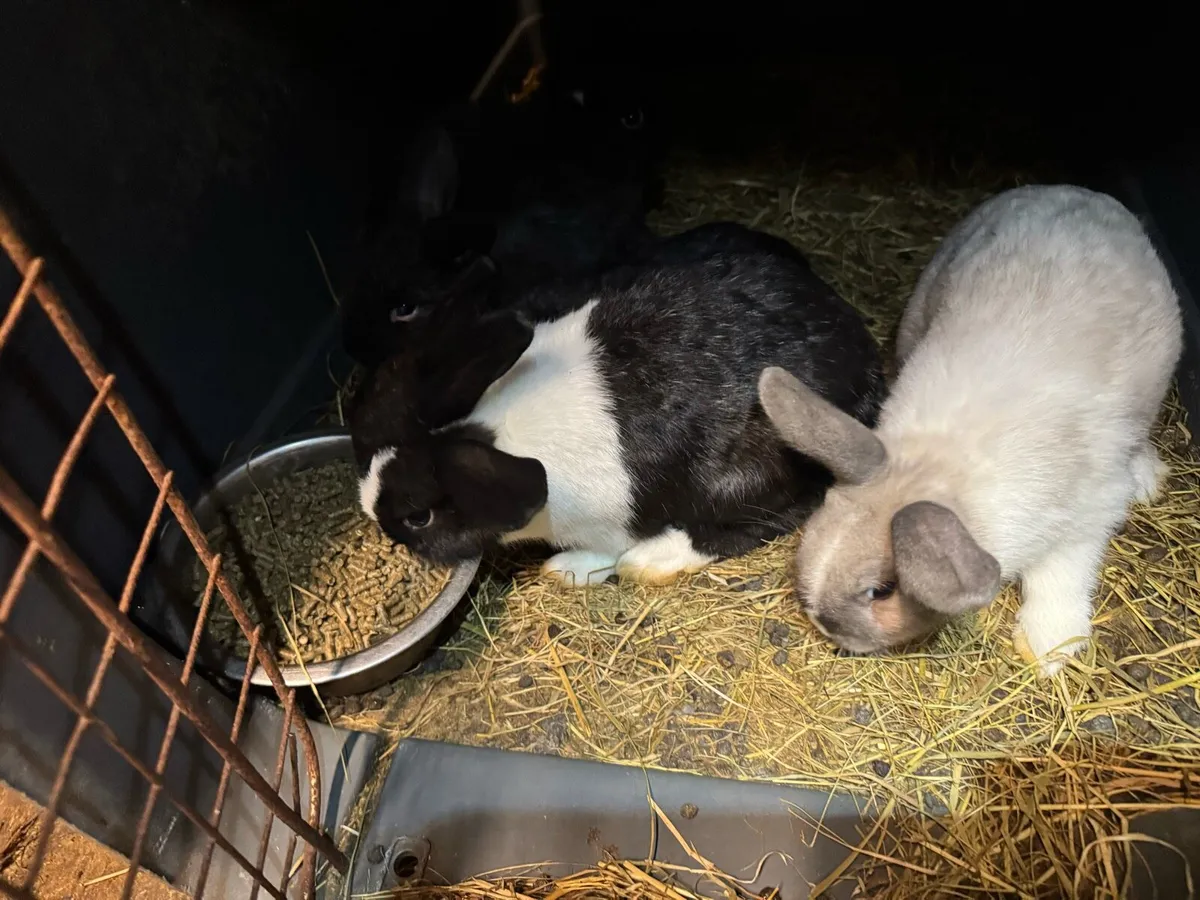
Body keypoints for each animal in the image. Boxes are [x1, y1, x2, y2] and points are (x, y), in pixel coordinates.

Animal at [351, 224, 885, 585]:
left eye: (419, 516)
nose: (377, 521)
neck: (498, 422)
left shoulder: (608, 528)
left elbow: (605, 552)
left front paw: (566, 570)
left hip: (753, 474)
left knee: (767, 517)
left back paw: (649, 562)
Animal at [756, 184, 1183, 676]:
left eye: (883, 590)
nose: (825, 626)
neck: (937, 465)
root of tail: (1065, 188)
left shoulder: (1090, 515)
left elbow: (1060, 574)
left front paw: (1047, 647)